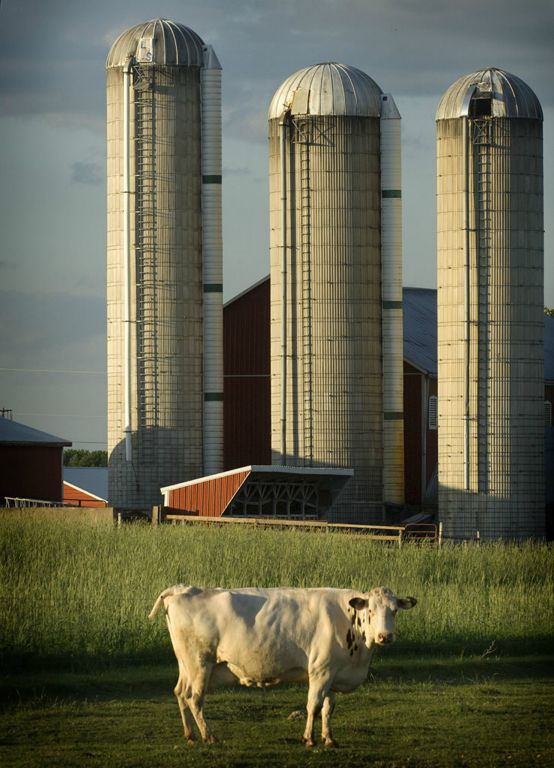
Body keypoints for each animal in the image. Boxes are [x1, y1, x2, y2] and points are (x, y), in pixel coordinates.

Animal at [147, 584, 414, 748]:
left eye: (394, 611)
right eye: (370, 610)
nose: (385, 636)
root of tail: (183, 589)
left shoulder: (334, 673)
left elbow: (328, 709)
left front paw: (329, 739)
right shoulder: (320, 671)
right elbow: (313, 706)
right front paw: (309, 739)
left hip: (186, 665)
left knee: (180, 693)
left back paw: (190, 735)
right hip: (200, 663)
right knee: (194, 699)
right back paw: (208, 735)